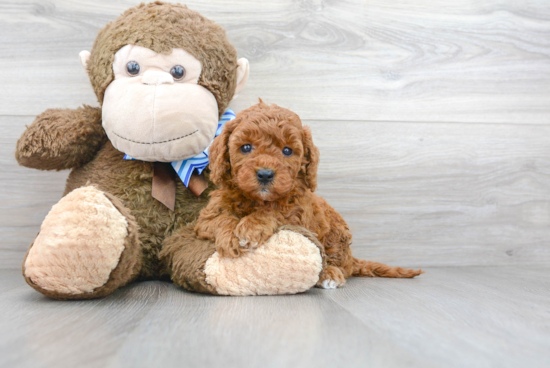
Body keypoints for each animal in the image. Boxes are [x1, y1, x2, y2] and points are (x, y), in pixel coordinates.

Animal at [196, 101, 424, 288]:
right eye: (246, 147)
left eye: (287, 151)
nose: (265, 174)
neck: (258, 200)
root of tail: (352, 258)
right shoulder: (206, 218)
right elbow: (221, 218)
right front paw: (230, 237)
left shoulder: (297, 215)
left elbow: (275, 213)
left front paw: (250, 228)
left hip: (336, 235)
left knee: (337, 264)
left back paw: (330, 274)